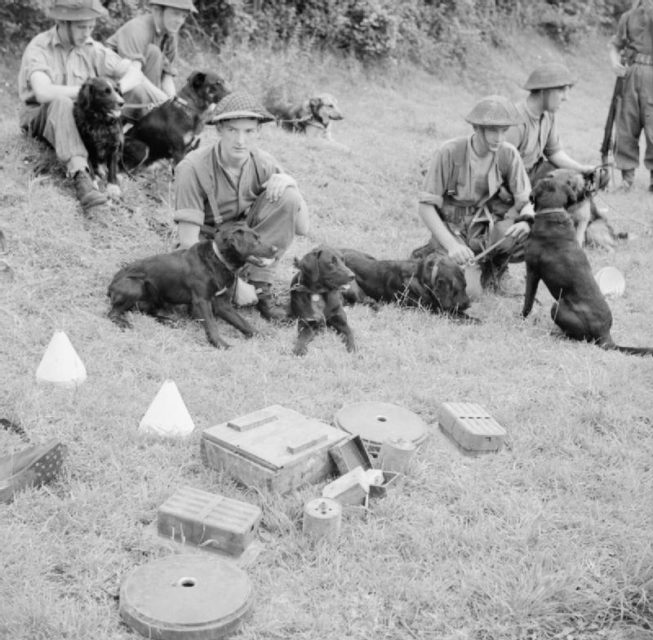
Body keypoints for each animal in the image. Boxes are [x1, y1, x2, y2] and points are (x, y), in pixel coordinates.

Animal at [108, 222, 276, 348]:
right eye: (255, 241)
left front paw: (262, 336)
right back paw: (125, 324)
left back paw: (170, 321)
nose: (276, 249)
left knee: (147, 312)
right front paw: (221, 344)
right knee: (112, 314)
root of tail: (110, 287)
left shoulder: (223, 304)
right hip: (134, 286)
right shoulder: (202, 301)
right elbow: (211, 324)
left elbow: (243, 322)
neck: (218, 259)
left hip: (156, 296)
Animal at [336, 249, 474, 320]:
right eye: (456, 290)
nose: (469, 304)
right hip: (352, 289)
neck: (420, 277)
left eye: (466, 286)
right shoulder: (431, 311)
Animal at [524, 176, 652, 356]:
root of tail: (605, 334)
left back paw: (555, 334)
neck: (553, 211)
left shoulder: (532, 270)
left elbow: (528, 300)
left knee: (578, 338)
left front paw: (521, 318)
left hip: (558, 306)